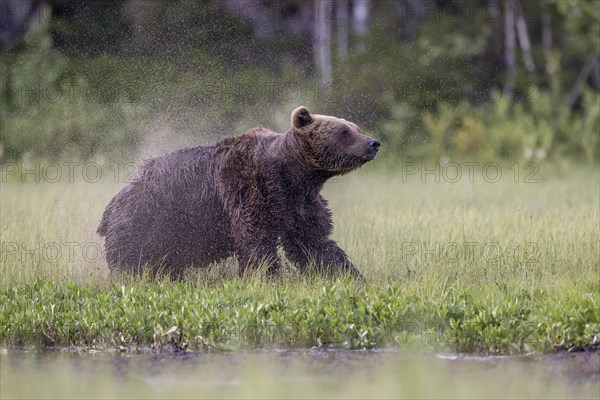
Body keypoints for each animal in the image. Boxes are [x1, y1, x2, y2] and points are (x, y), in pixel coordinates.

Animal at [98, 106, 380, 278]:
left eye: (355, 127)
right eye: (344, 132)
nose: (373, 143)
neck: (294, 175)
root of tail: (112, 203)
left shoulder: (300, 203)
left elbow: (313, 243)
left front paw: (348, 274)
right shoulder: (250, 187)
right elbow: (256, 240)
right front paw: (266, 277)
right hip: (144, 223)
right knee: (131, 263)